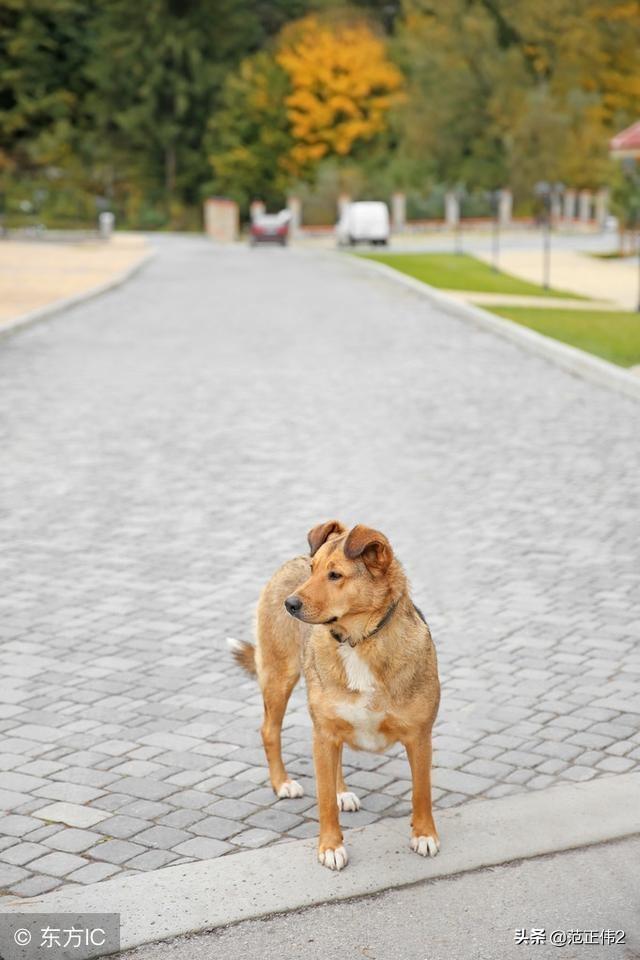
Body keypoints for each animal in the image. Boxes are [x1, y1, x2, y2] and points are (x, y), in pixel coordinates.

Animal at [229, 520, 440, 872]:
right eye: (312, 570)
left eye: (335, 575)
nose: (290, 604)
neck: (359, 641)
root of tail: (290, 560)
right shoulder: (324, 732)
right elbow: (324, 799)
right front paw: (330, 847)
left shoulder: (420, 737)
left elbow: (421, 792)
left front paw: (424, 834)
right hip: (280, 677)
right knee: (269, 730)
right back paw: (282, 783)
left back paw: (342, 791)